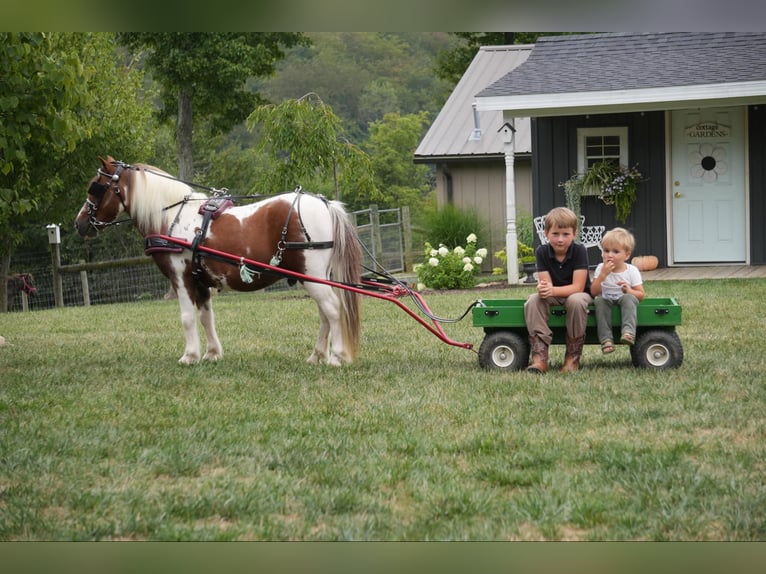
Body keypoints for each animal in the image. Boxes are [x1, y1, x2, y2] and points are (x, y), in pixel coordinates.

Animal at [75, 155, 364, 366]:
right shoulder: (201, 281)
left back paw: (336, 356)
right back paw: (317, 355)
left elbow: (187, 317)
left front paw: (189, 356)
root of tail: (325, 204)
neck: (172, 217)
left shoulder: (181, 277)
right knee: (325, 313)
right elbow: (206, 317)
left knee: (332, 309)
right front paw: (212, 353)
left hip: (312, 275)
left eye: (95, 187)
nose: (79, 223)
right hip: (314, 277)